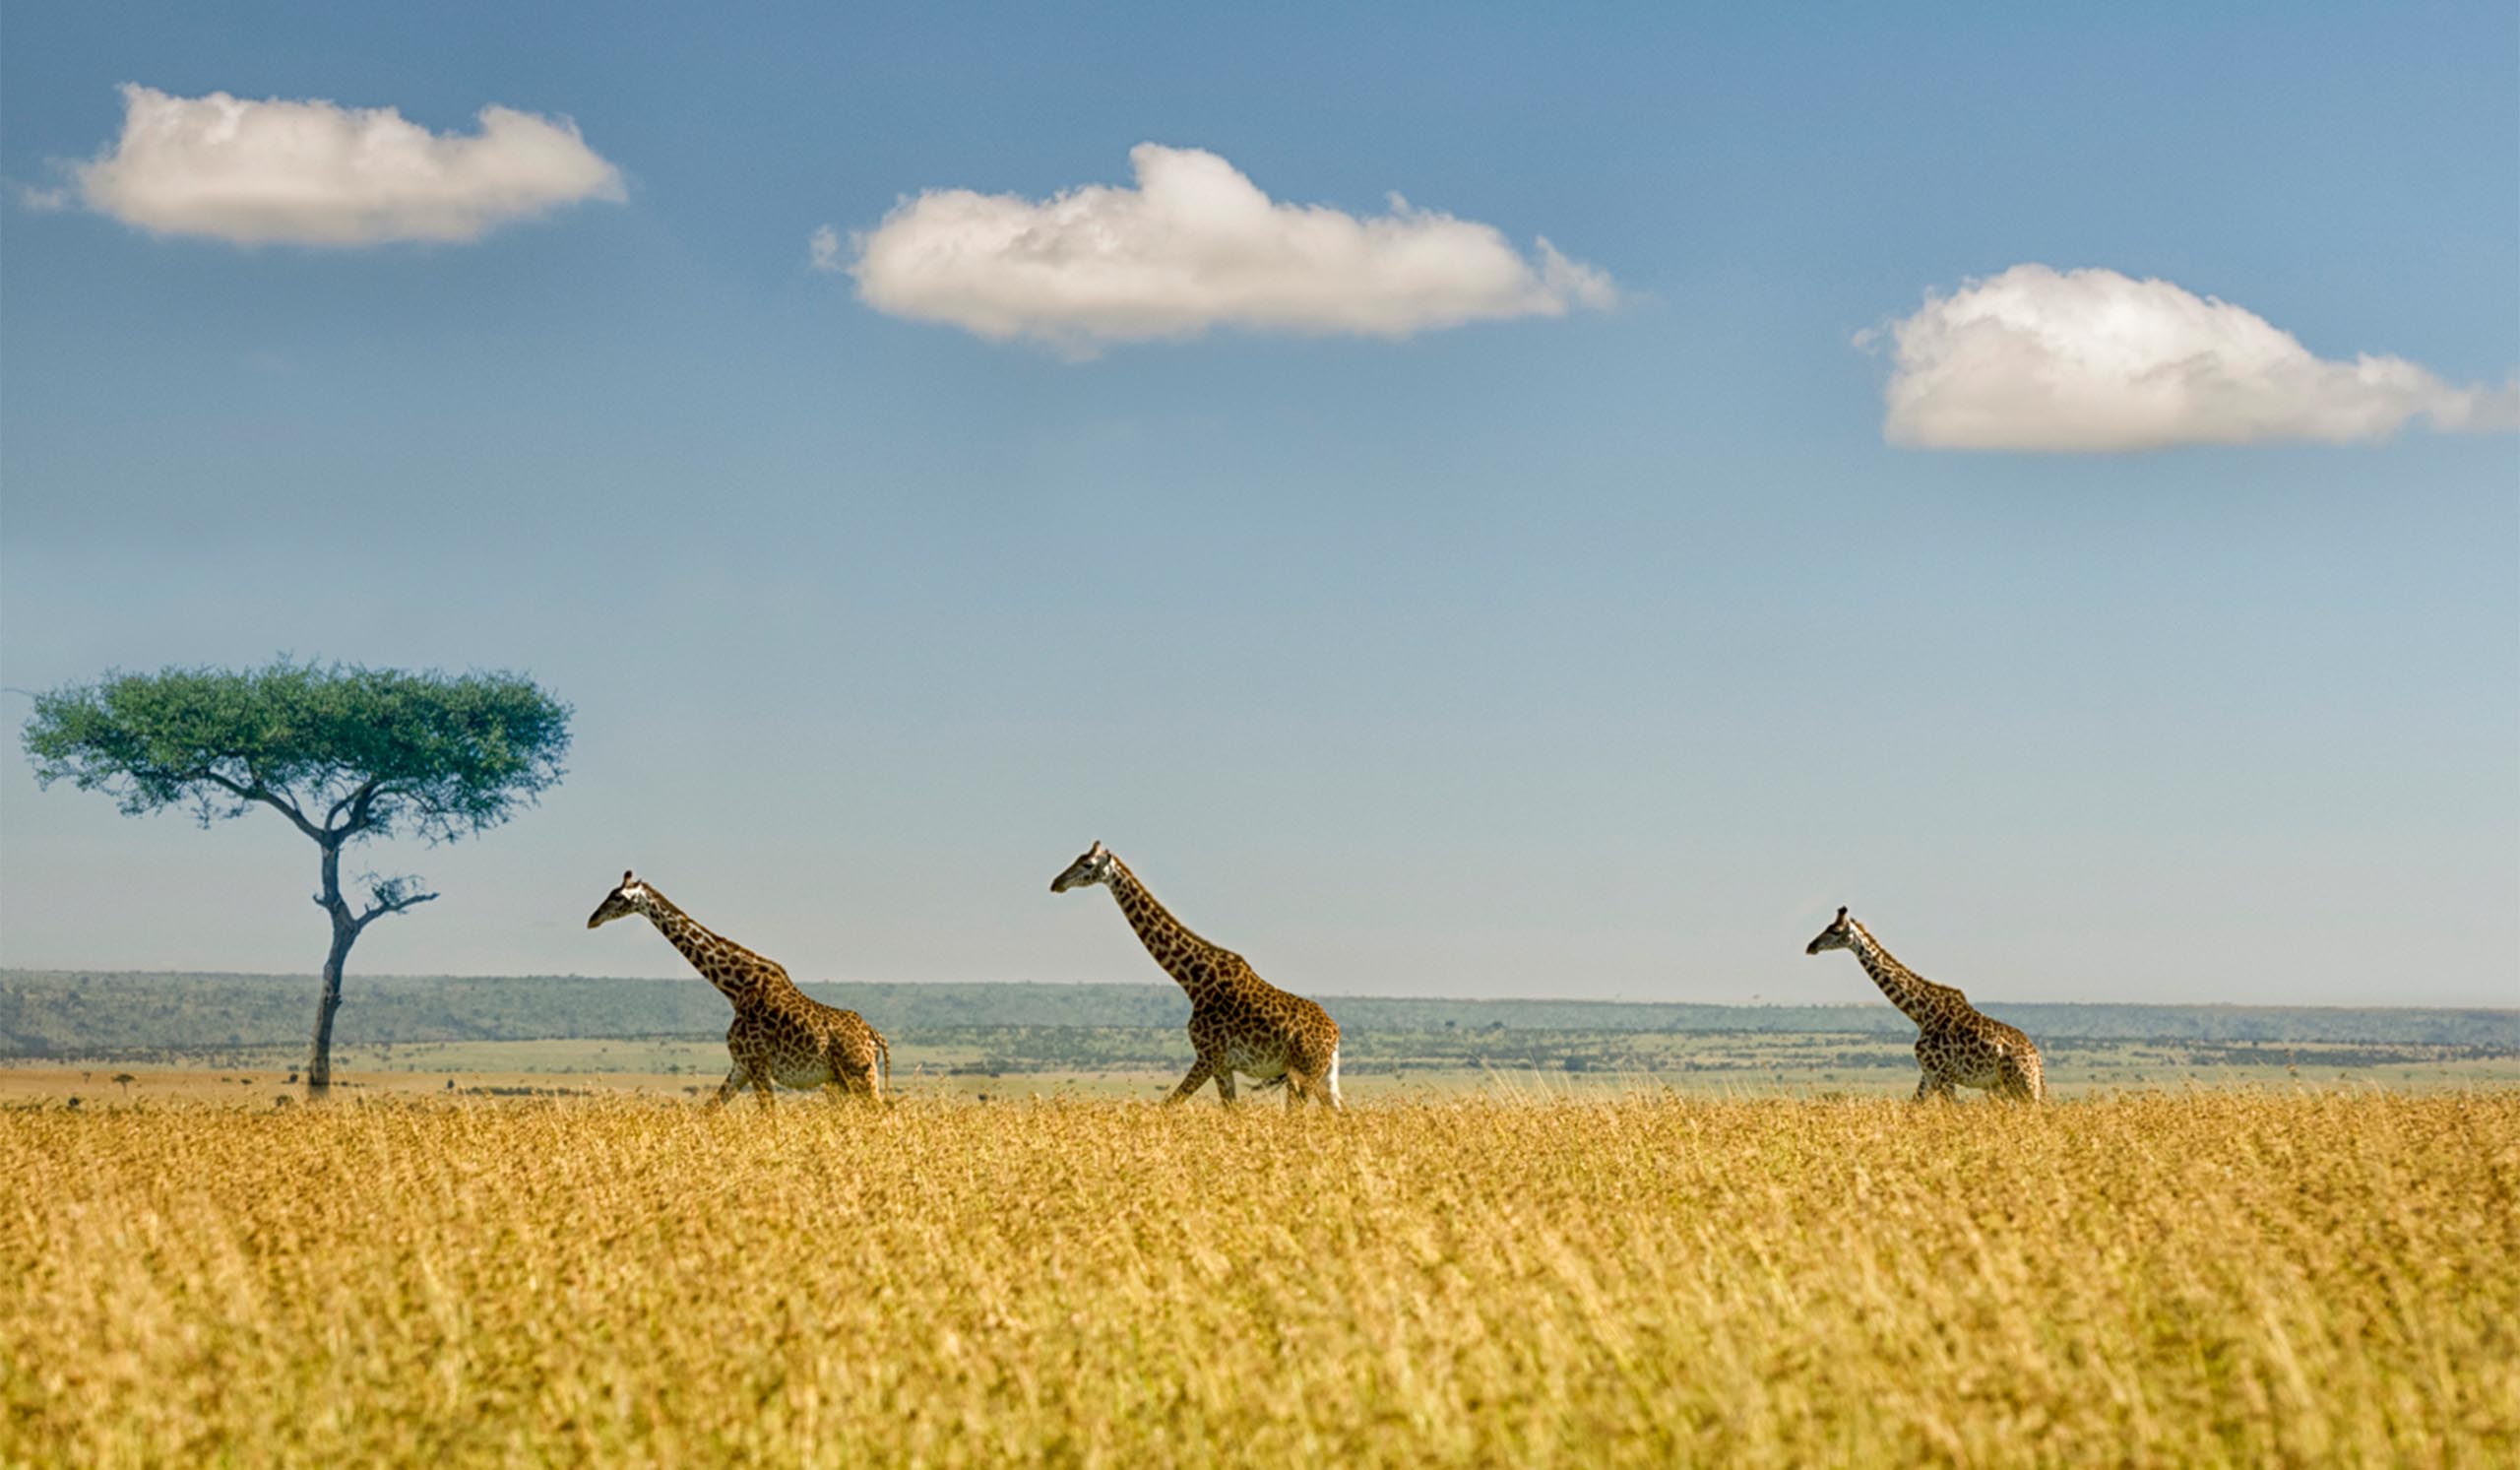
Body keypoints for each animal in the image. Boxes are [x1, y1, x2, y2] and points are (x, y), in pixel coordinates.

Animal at [587, 871, 889, 1106]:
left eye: (618, 897)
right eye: (610, 893)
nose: (592, 919)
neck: (736, 988)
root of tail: (874, 1037)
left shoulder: (757, 1063)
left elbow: (771, 1118)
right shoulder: (741, 1065)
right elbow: (709, 1110)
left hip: (859, 1076)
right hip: (841, 1080)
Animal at [1051, 841, 1342, 1109]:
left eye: (1087, 864)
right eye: (1078, 858)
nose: (1056, 883)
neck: (1194, 980)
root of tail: (1335, 1033)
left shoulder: (1209, 1057)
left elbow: (1170, 1105)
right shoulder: (1221, 1064)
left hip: (1303, 1074)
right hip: (1324, 1077)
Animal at [1805, 906, 2045, 1102]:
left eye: (1835, 931)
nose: (1811, 946)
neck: (1921, 1013)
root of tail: (2036, 1058)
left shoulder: (1943, 1074)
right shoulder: (1928, 1074)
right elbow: (1914, 1106)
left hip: (2020, 1084)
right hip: (2005, 1086)